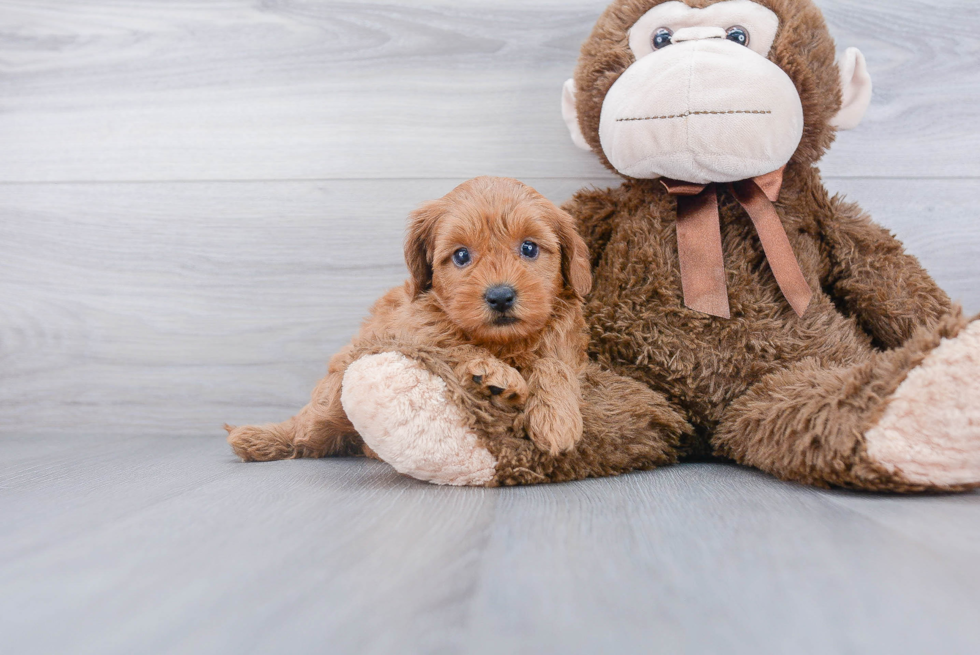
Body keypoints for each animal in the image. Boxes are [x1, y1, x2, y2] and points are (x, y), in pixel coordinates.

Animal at [226, 174, 592, 462]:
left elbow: (553, 364)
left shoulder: (567, 346)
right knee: (306, 431)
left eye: (529, 248)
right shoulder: (405, 330)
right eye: (461, 256)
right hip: (333, 392)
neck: (503, 343)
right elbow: (446, 344)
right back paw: (262, 439)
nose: (501, 296)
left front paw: (556, 419)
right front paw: (492, 373)